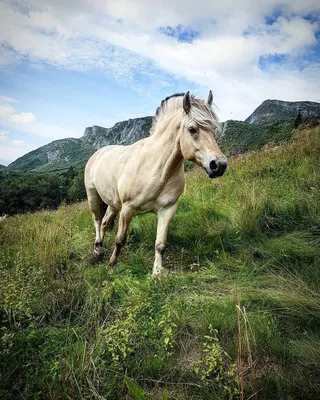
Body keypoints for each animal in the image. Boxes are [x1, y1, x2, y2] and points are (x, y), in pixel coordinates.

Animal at [84, 92, 226, 276]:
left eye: (214, 130)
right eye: (192, 129)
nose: (219, 165)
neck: (157, 168)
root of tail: (98, 153)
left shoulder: (167, 209)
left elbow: (160, 244)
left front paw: (157, 274)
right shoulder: (128, 209)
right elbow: (120, 240)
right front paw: (112, 266)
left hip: (114, 204)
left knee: (104, 223)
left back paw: (100, 249)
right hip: (93, 197)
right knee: (97, 220)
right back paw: (97, 251)